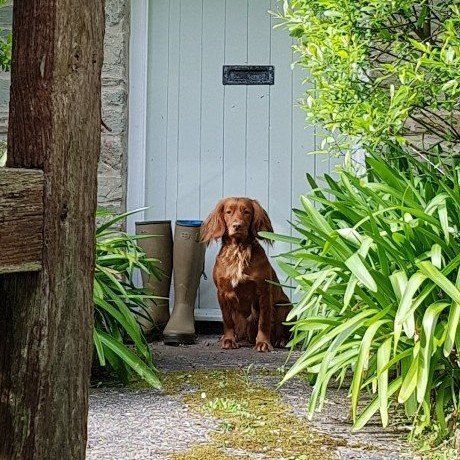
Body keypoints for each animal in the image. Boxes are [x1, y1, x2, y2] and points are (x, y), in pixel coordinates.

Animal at [202, 198, 292, 352]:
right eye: (228, 212)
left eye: (247, 212)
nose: (237, 225)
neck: (238, 251)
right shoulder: (222, 292)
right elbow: (227, 320)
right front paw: (228, 340)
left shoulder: (263, 292)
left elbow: (263, 321)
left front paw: (263, 343)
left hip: (284, 306)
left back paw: (280, 340)